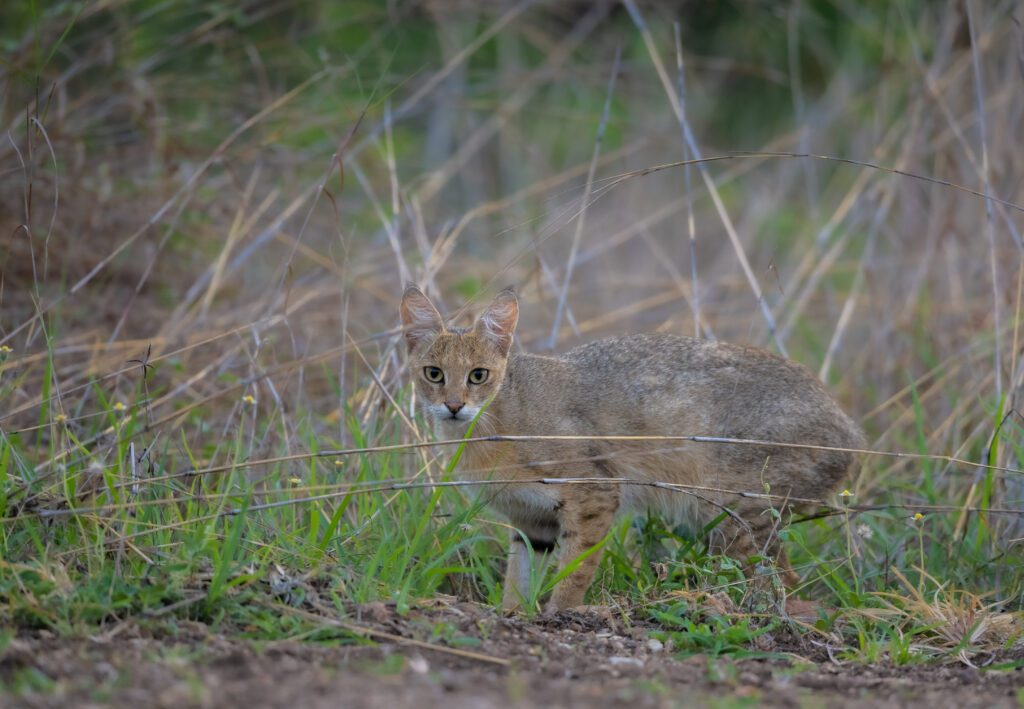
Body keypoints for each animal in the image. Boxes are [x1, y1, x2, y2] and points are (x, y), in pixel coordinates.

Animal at [399, 284, 864, 610]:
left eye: (478, 375)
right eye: (433, 373)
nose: (454, 405)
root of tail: (852, 431)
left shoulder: (596, 493)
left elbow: (576, 568)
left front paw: (559, 612)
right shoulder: (531, 522)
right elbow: (519, 577)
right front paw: (512, 614)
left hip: (735, 513)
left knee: (782, 584)